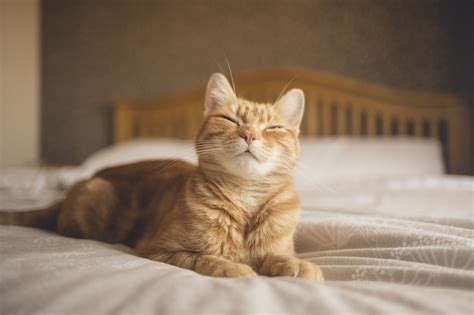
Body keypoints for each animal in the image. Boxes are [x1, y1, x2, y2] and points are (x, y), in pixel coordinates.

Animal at [0, 73, 322, 282]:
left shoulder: (276, 248)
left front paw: (299, 265)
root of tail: (76, 186)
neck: (245, 199)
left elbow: (280, 257)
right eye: (230, 120)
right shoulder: (160, 249)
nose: (250, 134)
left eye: (273, 128)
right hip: (92, 202)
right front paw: (235, 268)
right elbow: (205, 258)